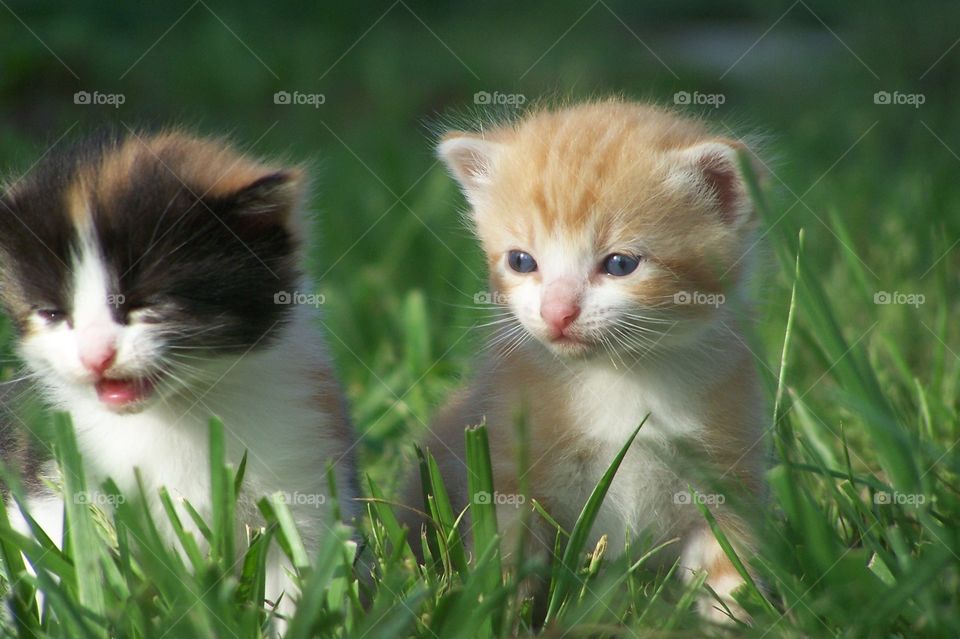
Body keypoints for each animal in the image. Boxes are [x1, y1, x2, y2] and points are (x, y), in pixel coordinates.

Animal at [0, 129, 360, 624]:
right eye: (53, 314)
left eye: (146, 305)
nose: (96, 356)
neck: (177, 409)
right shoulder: (51, 474)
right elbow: (60, 559)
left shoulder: (306, 463)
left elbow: (299, 572)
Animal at [408, 101, 768, 624]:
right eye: (521, 261)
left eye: (620, 265)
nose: (557, 313)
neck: (623, 374)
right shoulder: (509, 471)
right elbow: (507, 558)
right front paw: (493, 615)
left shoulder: (727, 474)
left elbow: (728, 570)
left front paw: (736, 622)